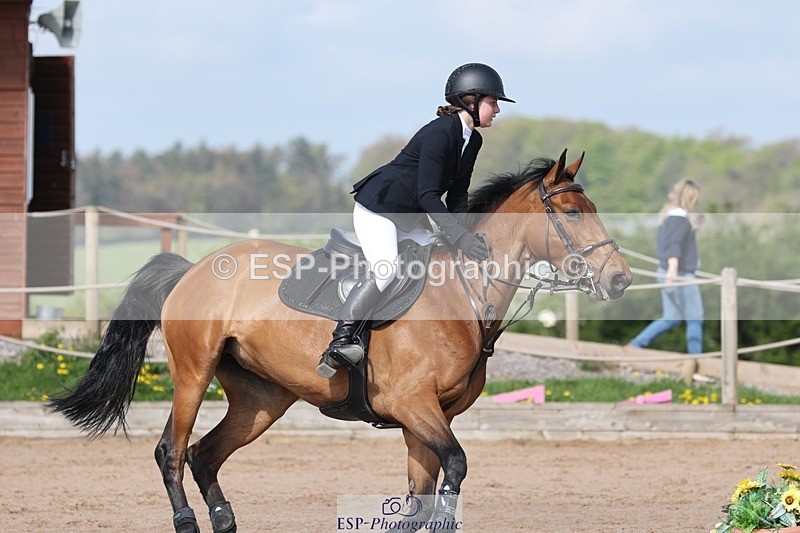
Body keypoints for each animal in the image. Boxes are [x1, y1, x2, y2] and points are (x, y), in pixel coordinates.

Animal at [49, 149, 632, 532]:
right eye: (573, 213)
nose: (621, 280)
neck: (464, 291)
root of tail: (192, 268)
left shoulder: (425, 417)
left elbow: (418, 496)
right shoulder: (412, 404)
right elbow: (455, 470)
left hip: (262, 398)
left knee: (205, 454)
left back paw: (224, 519)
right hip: (193, 373)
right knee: (171, 450)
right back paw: (189, 520)